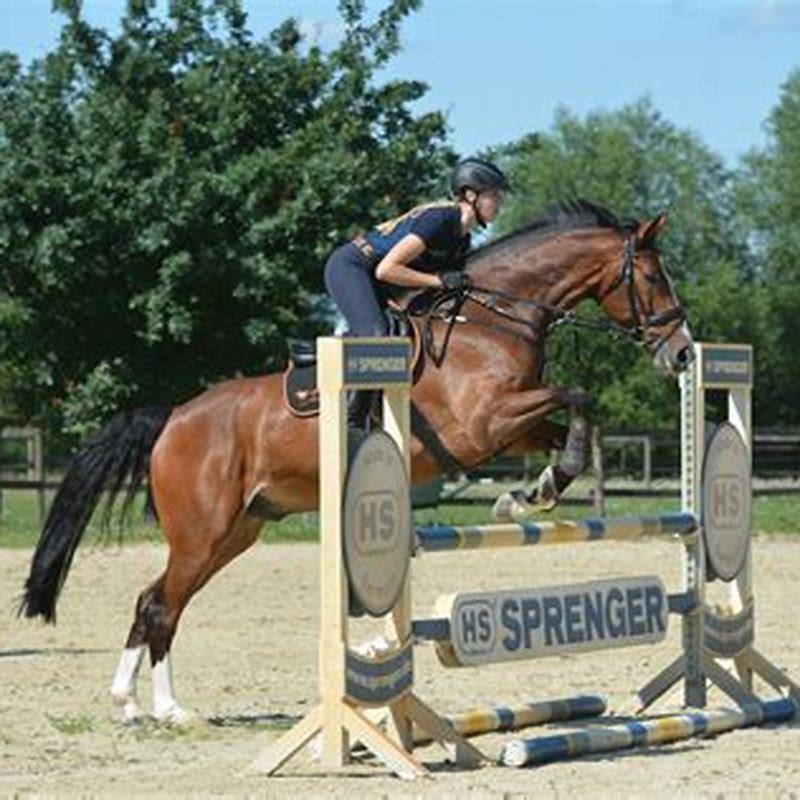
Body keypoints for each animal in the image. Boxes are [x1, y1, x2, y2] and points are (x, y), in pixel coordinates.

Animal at [20, 199, 693, 724]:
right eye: (652, 276)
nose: (684, 353)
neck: (491, 319)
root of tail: (174, 419)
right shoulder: (483, 423)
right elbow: (580, 396)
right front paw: (541, 489)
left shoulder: (509, 430)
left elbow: (571, 422)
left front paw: (534, 491)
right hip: (202, 531)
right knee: (162, 604)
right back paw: (168, 708)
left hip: (236, 531)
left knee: (153, 600)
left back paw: (128, 703)